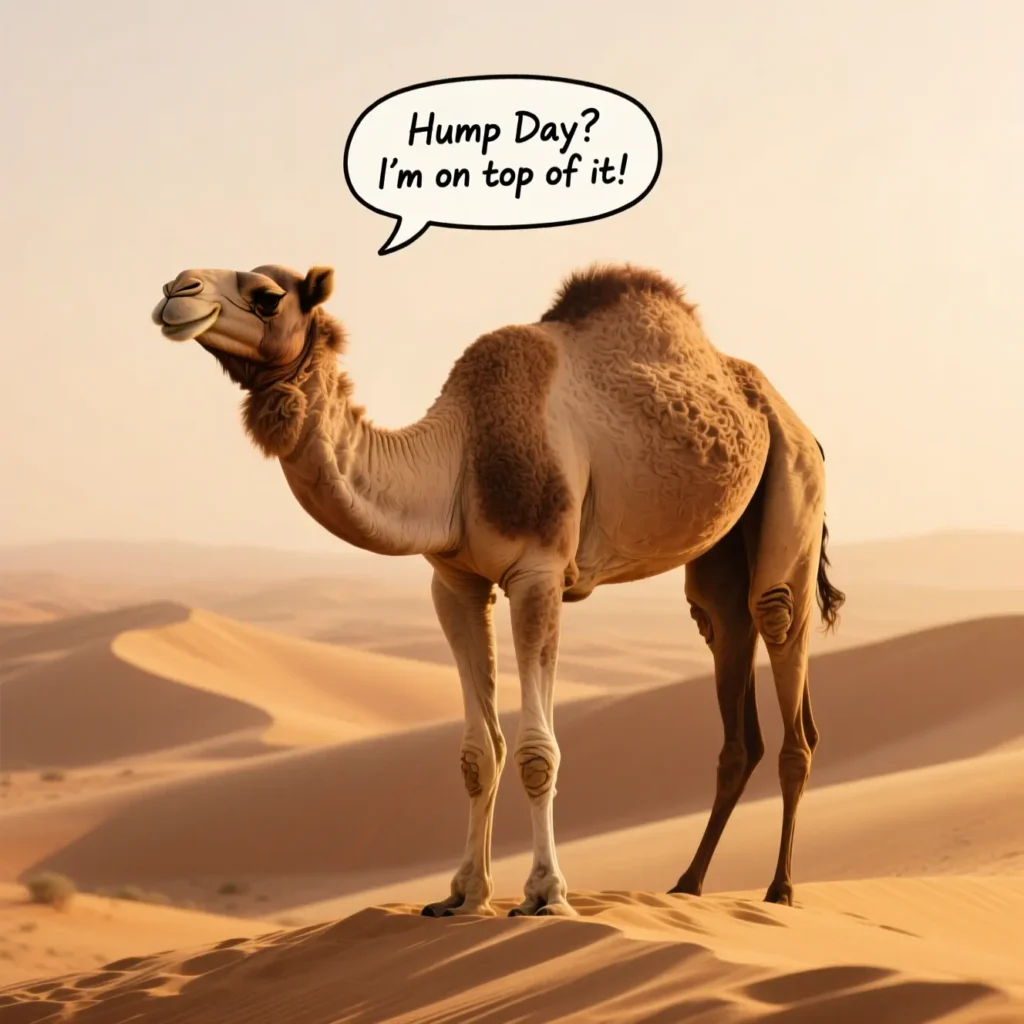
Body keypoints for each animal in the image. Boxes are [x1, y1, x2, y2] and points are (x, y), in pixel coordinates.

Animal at [151, 262, 844, 917]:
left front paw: (545, 895)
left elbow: (539, 752)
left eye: (267, 295)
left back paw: (780, 889)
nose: (175, 290)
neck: (460, 454)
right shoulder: (455, 582)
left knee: (778, 631)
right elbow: (477, 753)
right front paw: (463, 895)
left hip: (793, 480)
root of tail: (797, 422)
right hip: (719, 552)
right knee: (725, 641)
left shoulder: (539, 573)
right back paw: (688, 884)